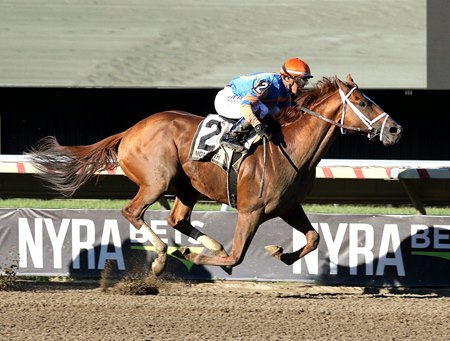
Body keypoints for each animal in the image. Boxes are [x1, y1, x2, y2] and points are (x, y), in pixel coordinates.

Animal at [27, 74, 400, 274]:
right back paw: (163, 256)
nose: (395, 129)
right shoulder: (251, 211)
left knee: (178, 219)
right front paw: (198, 256)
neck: (292, 149)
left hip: (187, 187)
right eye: (363, 102)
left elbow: (313, 239)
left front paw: (282, 253)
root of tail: (131, 129)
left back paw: (205, 245)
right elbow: (238, 254)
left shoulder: (289, 207)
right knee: (133, 211)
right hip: (157, 181)